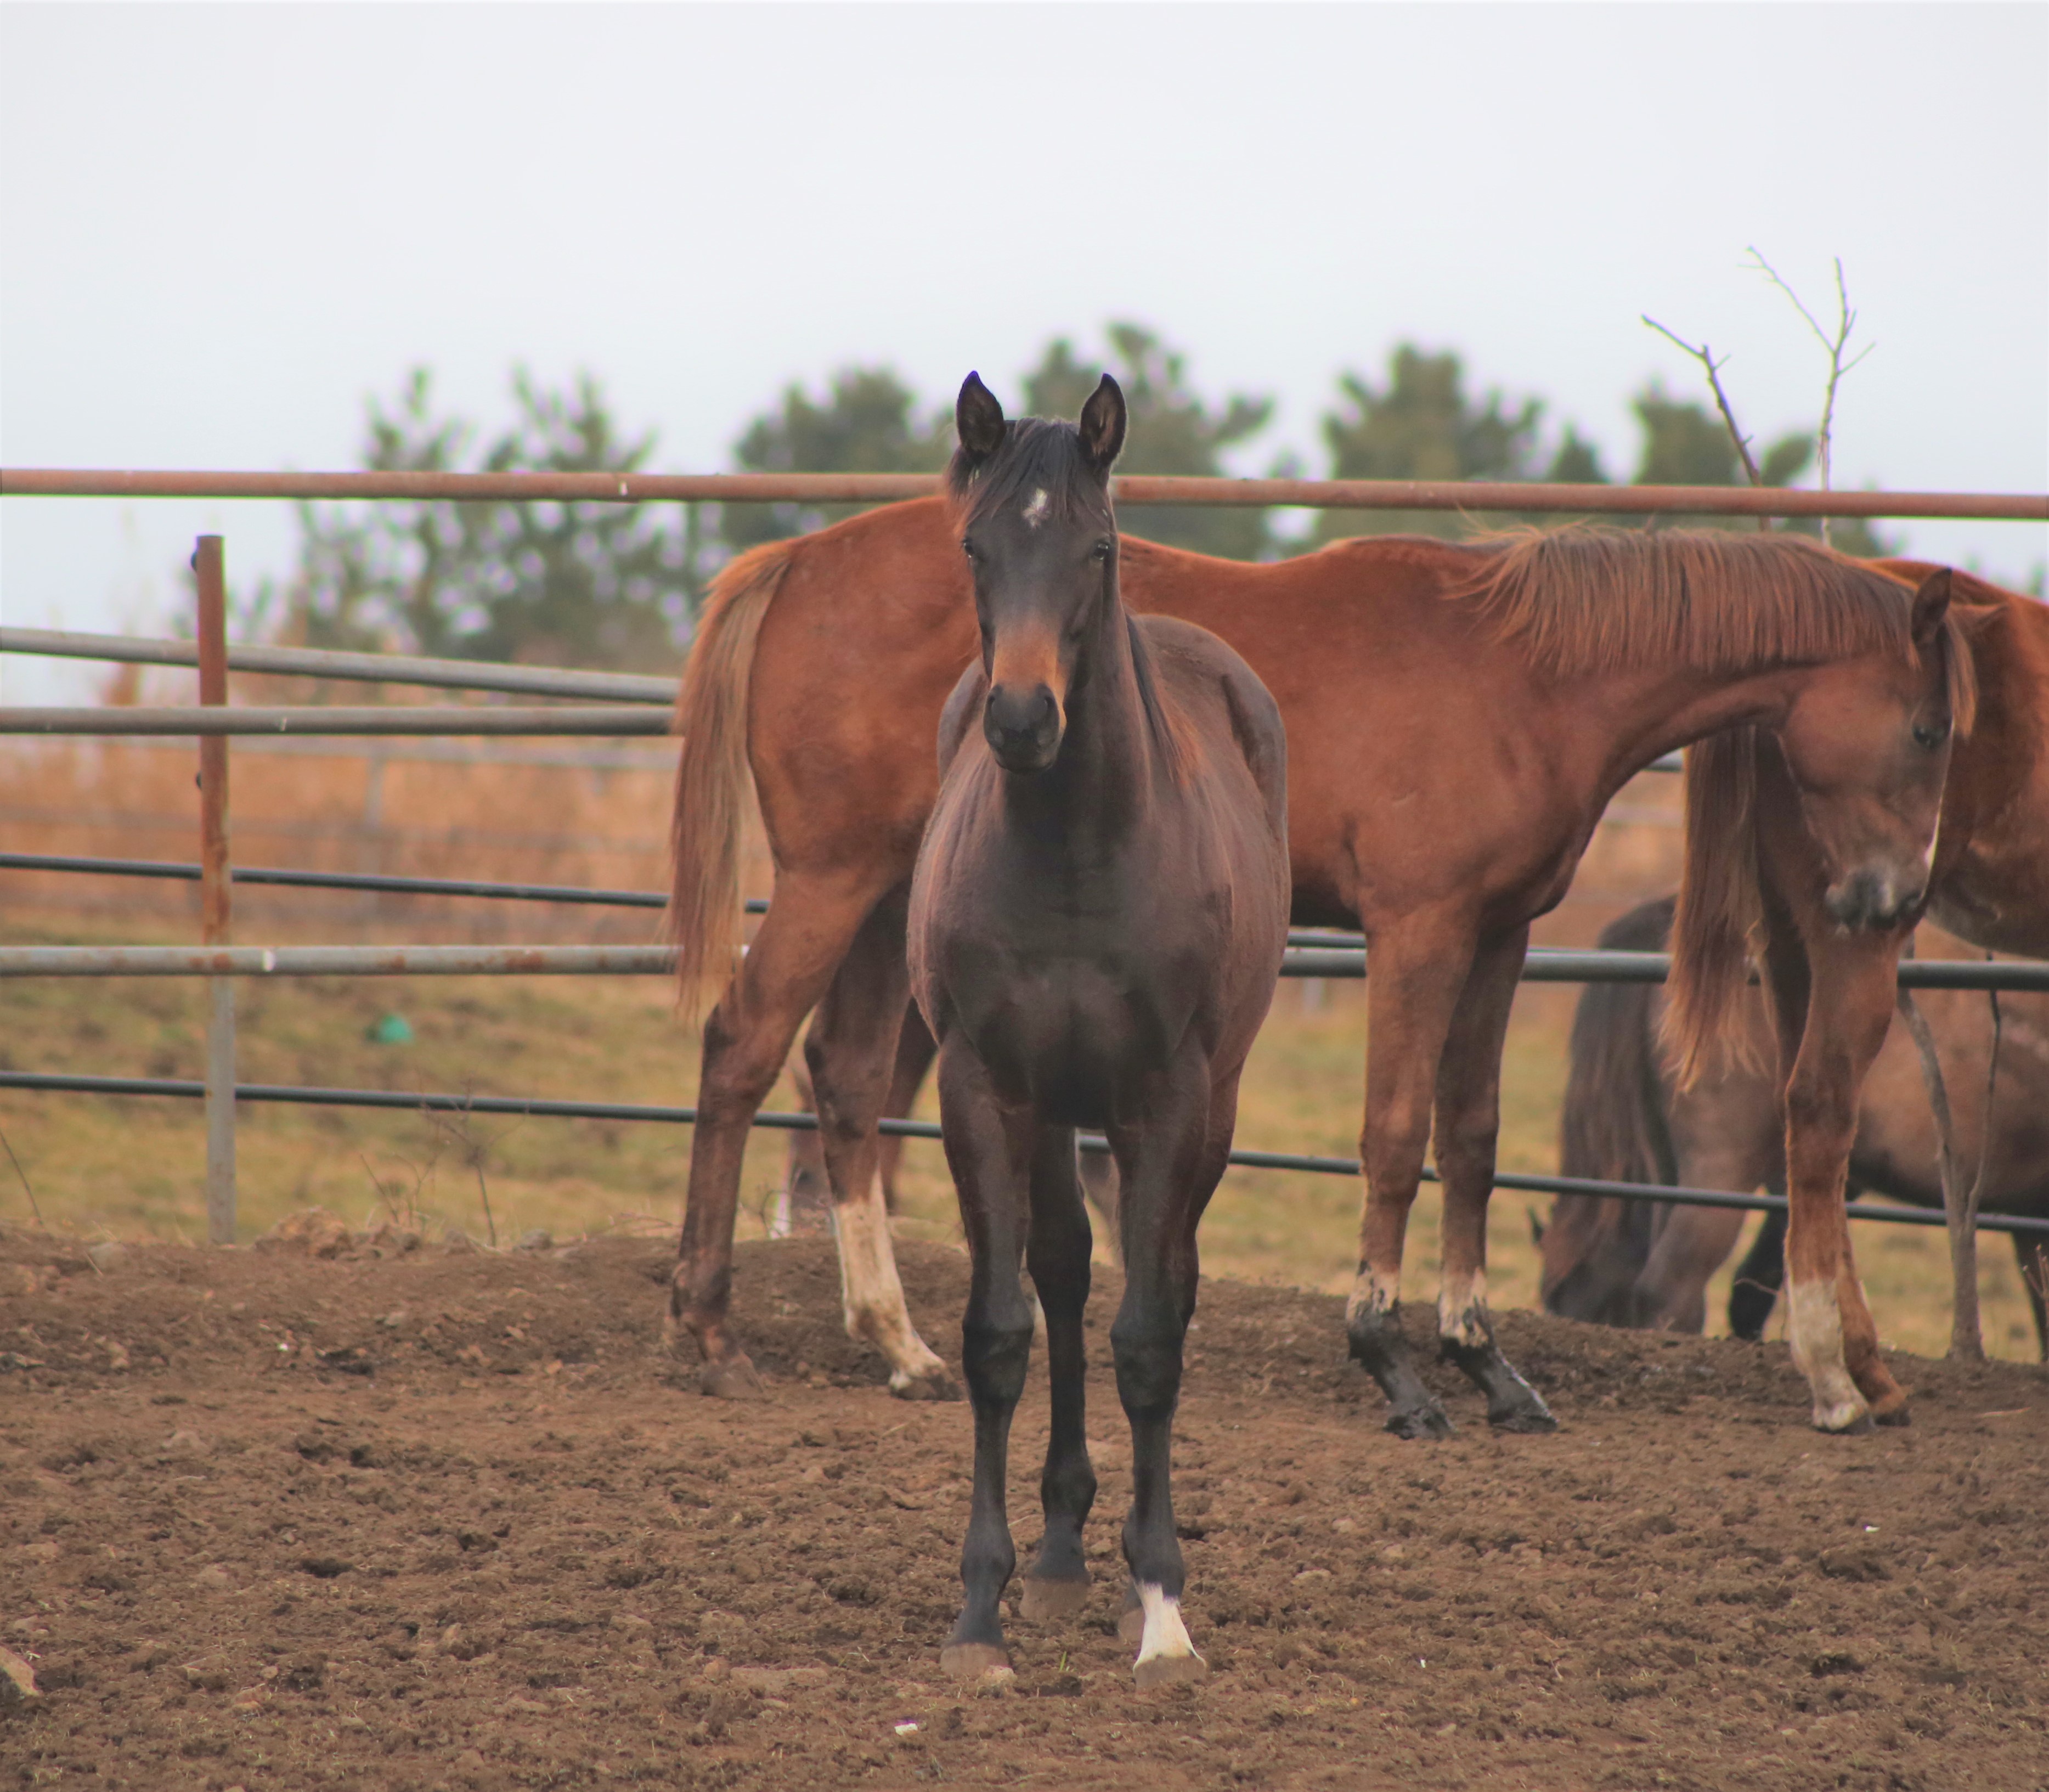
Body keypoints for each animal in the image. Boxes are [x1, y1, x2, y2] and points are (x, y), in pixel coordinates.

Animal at [672, 477, 1967, 1435]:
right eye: (1924, 726)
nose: (1894, 897)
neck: (1525, 675)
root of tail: (797, 560)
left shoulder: (1500, 936)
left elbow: (1472, 1138)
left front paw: (1486, 1362)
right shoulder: (1418, 929)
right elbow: (1394, 1139)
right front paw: (1389, 1360)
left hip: (891, 896)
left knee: (842, 1078)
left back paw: (896, 1343)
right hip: (835, 879)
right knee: (741, 1045)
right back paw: (708, 1333)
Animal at [910, 371, 1286, 1681]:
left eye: (1098, 548)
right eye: (974, 547)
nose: (1024, 718)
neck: (1077, 848)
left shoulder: (1164, 1100)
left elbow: (1150, 1339)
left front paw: (1163, 1603)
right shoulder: (984, 1092)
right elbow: (1001, 1330)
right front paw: (979, 1610)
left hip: (1205, 1110)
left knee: (1162, 1285)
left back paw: (1123, 1569)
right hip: (1050, 1118)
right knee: (1066, 1278)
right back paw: (1068, 1550)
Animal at [1663, 561, 2049, 1427]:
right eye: (1925, 732)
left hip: (1788, 942)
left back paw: (1864, 1368)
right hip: (1852, 938)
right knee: (1818, 1105)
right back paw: (1837, 1375)